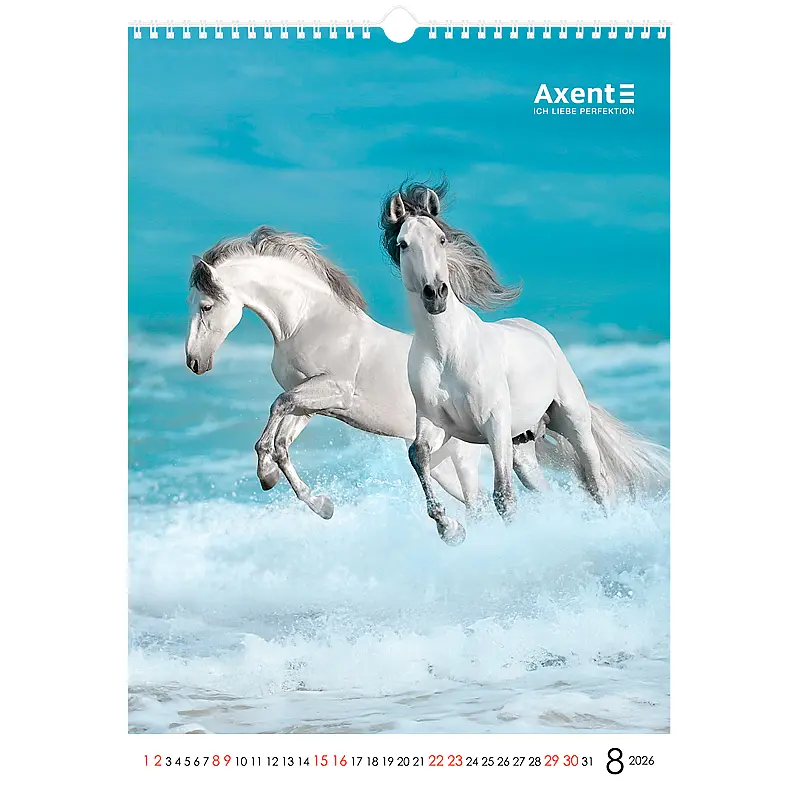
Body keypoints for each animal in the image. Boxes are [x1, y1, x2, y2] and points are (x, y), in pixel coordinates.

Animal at [183, 224, 489, 520]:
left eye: (206, 306)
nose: (194, 361)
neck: (306, 322)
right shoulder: (307, 404)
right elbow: (282, 442)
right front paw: (320, 505)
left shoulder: (335, 390)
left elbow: (277, 408)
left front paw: (266, 475)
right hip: (440, 464)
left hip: (461, 458)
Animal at [380, 180, 669, 544]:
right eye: (403, 244)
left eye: (441, 239)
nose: (436, 294)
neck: (446, 351)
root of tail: (540, 334)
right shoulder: (436, 424)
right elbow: (418, 455)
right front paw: (450, 528)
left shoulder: (494, 424)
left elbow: (504, 495)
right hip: (522, 445)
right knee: (546, 490)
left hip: (572, 422)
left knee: (596, 482)